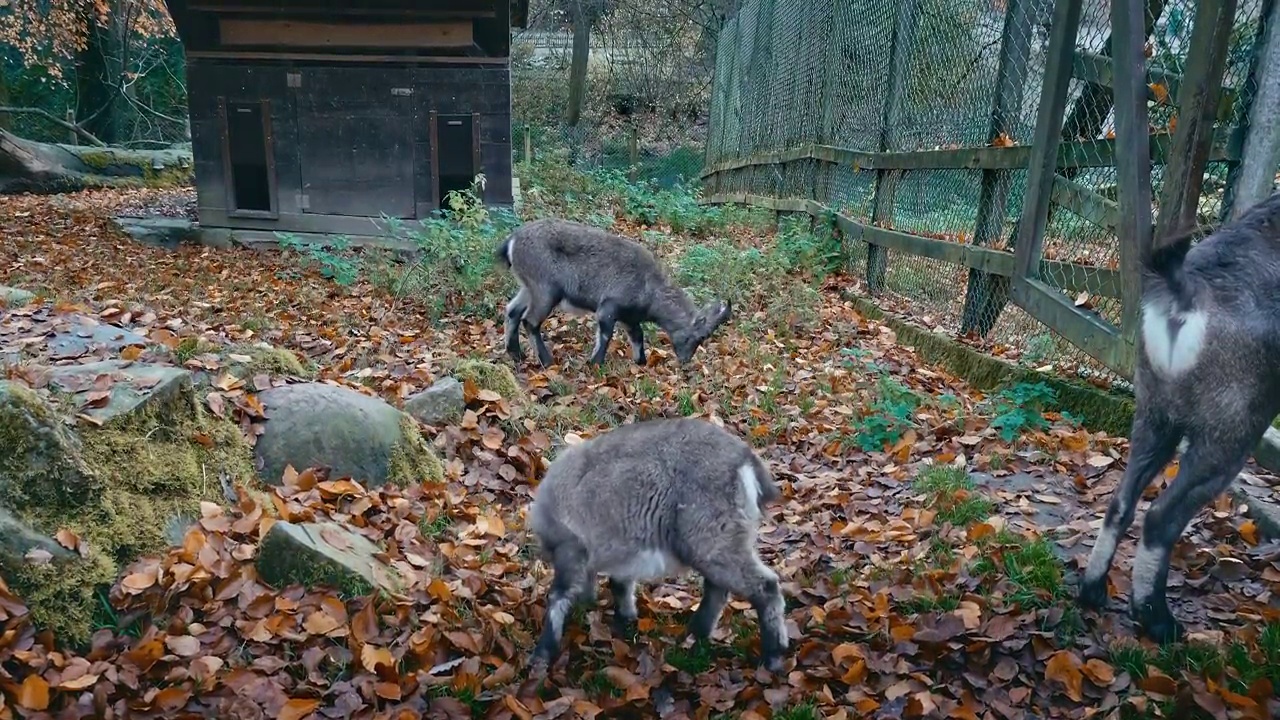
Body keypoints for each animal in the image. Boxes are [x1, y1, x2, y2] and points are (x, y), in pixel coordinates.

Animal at [491, 217, 732, 363]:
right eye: (701, 336)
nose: (685, 361)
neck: (650, 290)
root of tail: (512, 242)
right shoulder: (609, 307)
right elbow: (606, 336)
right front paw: (595, 363)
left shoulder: (629, 317)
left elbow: (638, 337)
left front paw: (640, 362)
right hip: (546, 289)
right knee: (530, 320)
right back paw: (546, 360)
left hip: (528, 287)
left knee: (512, 311)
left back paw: (516, 354)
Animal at [522, 417, 788, 671]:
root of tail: (745, 461)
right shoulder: (622, 549)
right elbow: (619, 583)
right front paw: (625, 618)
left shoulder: (571, 547)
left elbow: (558, 596)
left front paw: (543, 651)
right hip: (719, 543)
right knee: (717, 589)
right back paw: (696, 634)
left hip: (711, 541)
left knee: (764, 587)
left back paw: (773, 655)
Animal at [1080, 189, 1280, 638]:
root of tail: (1184, 294)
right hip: (1227, 437)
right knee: (1160, 517)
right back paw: (1155, 617)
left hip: (1156, 417)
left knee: (1121, 501)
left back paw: (1093, 589)